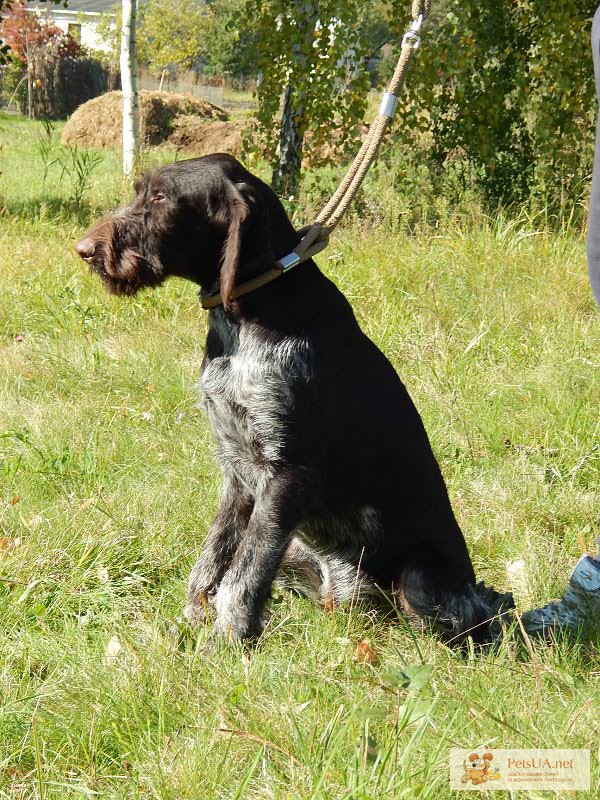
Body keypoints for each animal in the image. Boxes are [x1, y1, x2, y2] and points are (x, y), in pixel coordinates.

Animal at [77, 155, 512, 644]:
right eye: (141, 192)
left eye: (160, 197)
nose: (84, 249)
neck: (242, 324)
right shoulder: (238, 474)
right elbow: (212, 562)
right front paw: (188, 628)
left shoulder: (288, 474)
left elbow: (241, 577)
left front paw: (224, 645)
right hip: (296, 552)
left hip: (420, 580)